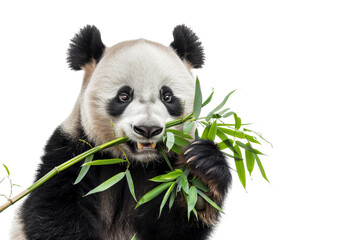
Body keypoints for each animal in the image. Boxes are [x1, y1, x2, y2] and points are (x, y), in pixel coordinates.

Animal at [11, 24, 232, 240]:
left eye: (168, 96)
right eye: (124, 96)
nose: (148, 129)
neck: (132, 165)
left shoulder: (168, 166)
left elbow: (174, 220)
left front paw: (201, 173)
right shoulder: (72, 153)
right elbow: (53, 213)